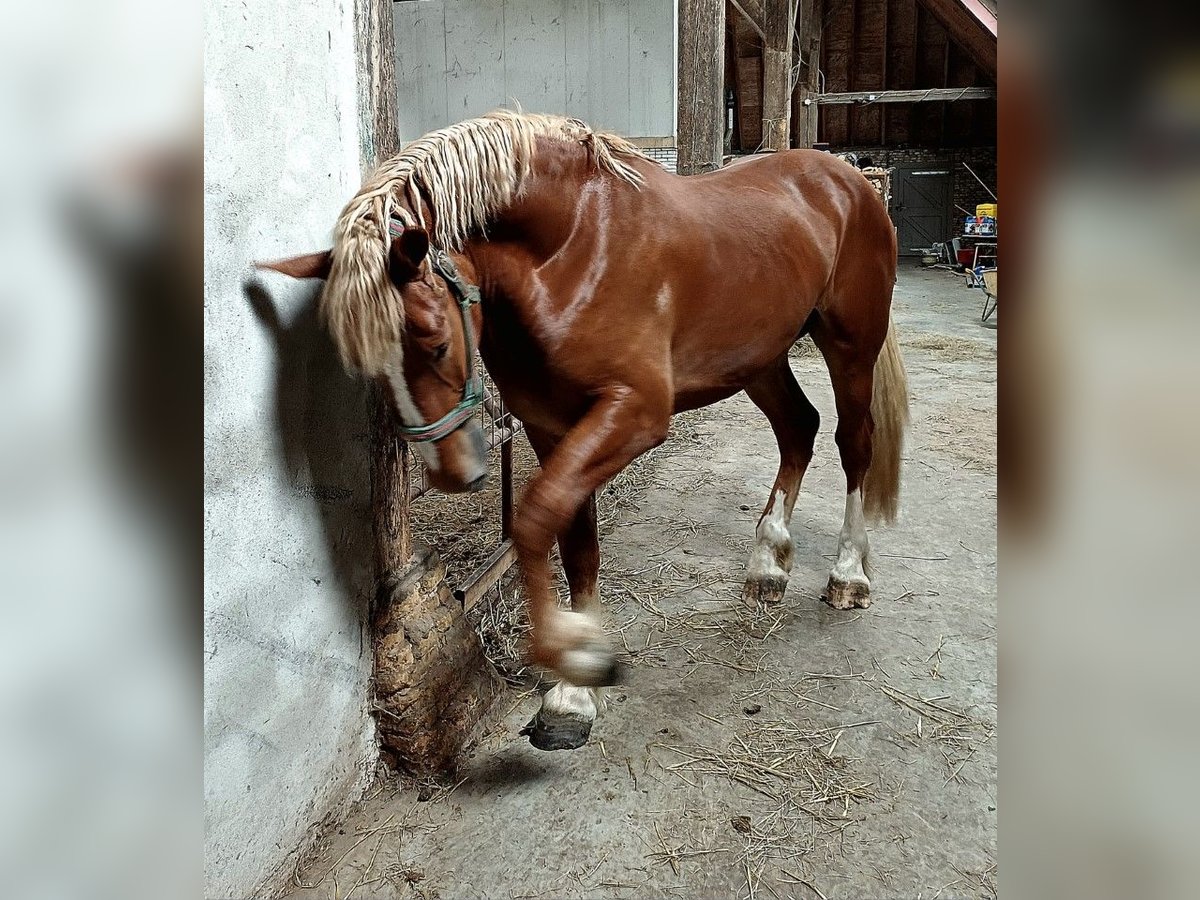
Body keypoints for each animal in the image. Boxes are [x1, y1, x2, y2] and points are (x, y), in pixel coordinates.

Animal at [258, 109, 902, 748]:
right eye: (365, 364)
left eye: (435, 342)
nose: (452, 473)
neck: (573, 251)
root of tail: (850, 180)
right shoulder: (552, 426)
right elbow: (576, 542)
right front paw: (573, 695)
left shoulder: (634, 412)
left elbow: (535, 519)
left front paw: (574, 659)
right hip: (759, 358)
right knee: (798, 428)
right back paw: (768, 564)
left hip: (850, 347)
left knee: (853, 444)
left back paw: (849, 575)